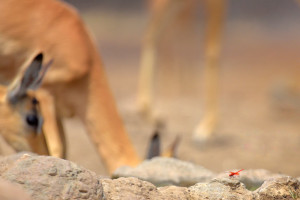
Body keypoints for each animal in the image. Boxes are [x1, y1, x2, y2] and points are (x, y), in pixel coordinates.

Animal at [137, 0, 226, 141]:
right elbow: (212, 51)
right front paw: (207, 127)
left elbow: (212, 50)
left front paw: (207, 126)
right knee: (152, 33)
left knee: (151, 34)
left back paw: (149, 113)